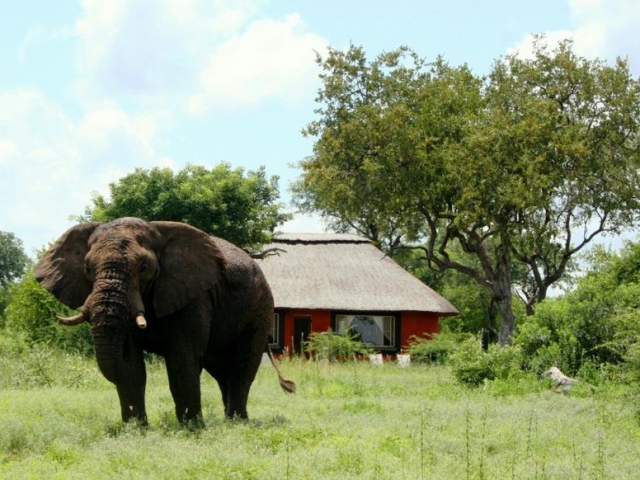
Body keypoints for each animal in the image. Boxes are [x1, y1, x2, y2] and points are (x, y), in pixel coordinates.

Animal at [33, 218, 294, 424]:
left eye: (144, 267)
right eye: (87, 267)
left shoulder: (193, 294)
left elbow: (182, 357)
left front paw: (192, 428)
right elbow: (132, 364)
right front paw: (135, 429)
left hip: (260, 310)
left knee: (241, 367)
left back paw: (237, 422)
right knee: (222, 372)